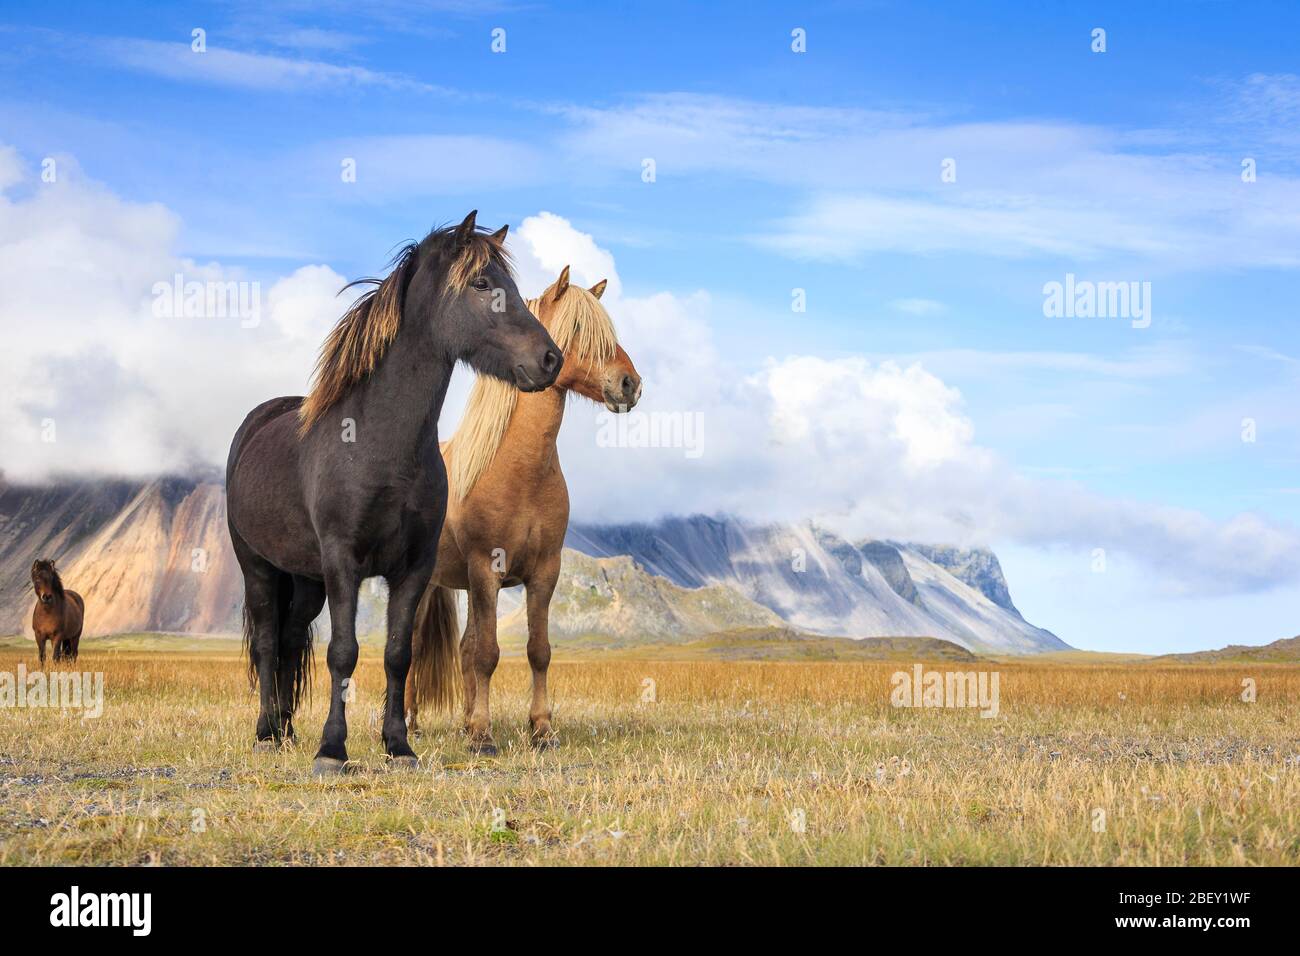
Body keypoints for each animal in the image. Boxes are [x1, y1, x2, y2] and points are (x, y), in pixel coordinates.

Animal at [225, 211, 562, 776]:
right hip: (259, 569)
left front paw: (399, 745)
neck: (378, 445)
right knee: (270, 641)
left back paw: (289, 730)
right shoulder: (344, 563)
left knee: (291, 638)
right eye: (482, 284)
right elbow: (343, 652)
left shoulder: (414, 567)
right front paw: (332, 750)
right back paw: (268, 732)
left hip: (306, 579)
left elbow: (398, 653)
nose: (550, 359)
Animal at [405, 265, 642, 753]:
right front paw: (482, 735)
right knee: (414, 647)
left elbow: (537, 650)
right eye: (578, 330)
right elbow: (488, 653)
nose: (630, 384)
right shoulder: (485, 571)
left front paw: (541, 728)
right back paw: (410, 722)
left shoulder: (544, 573)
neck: (519, 469)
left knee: (461, 649)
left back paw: (459, 720)